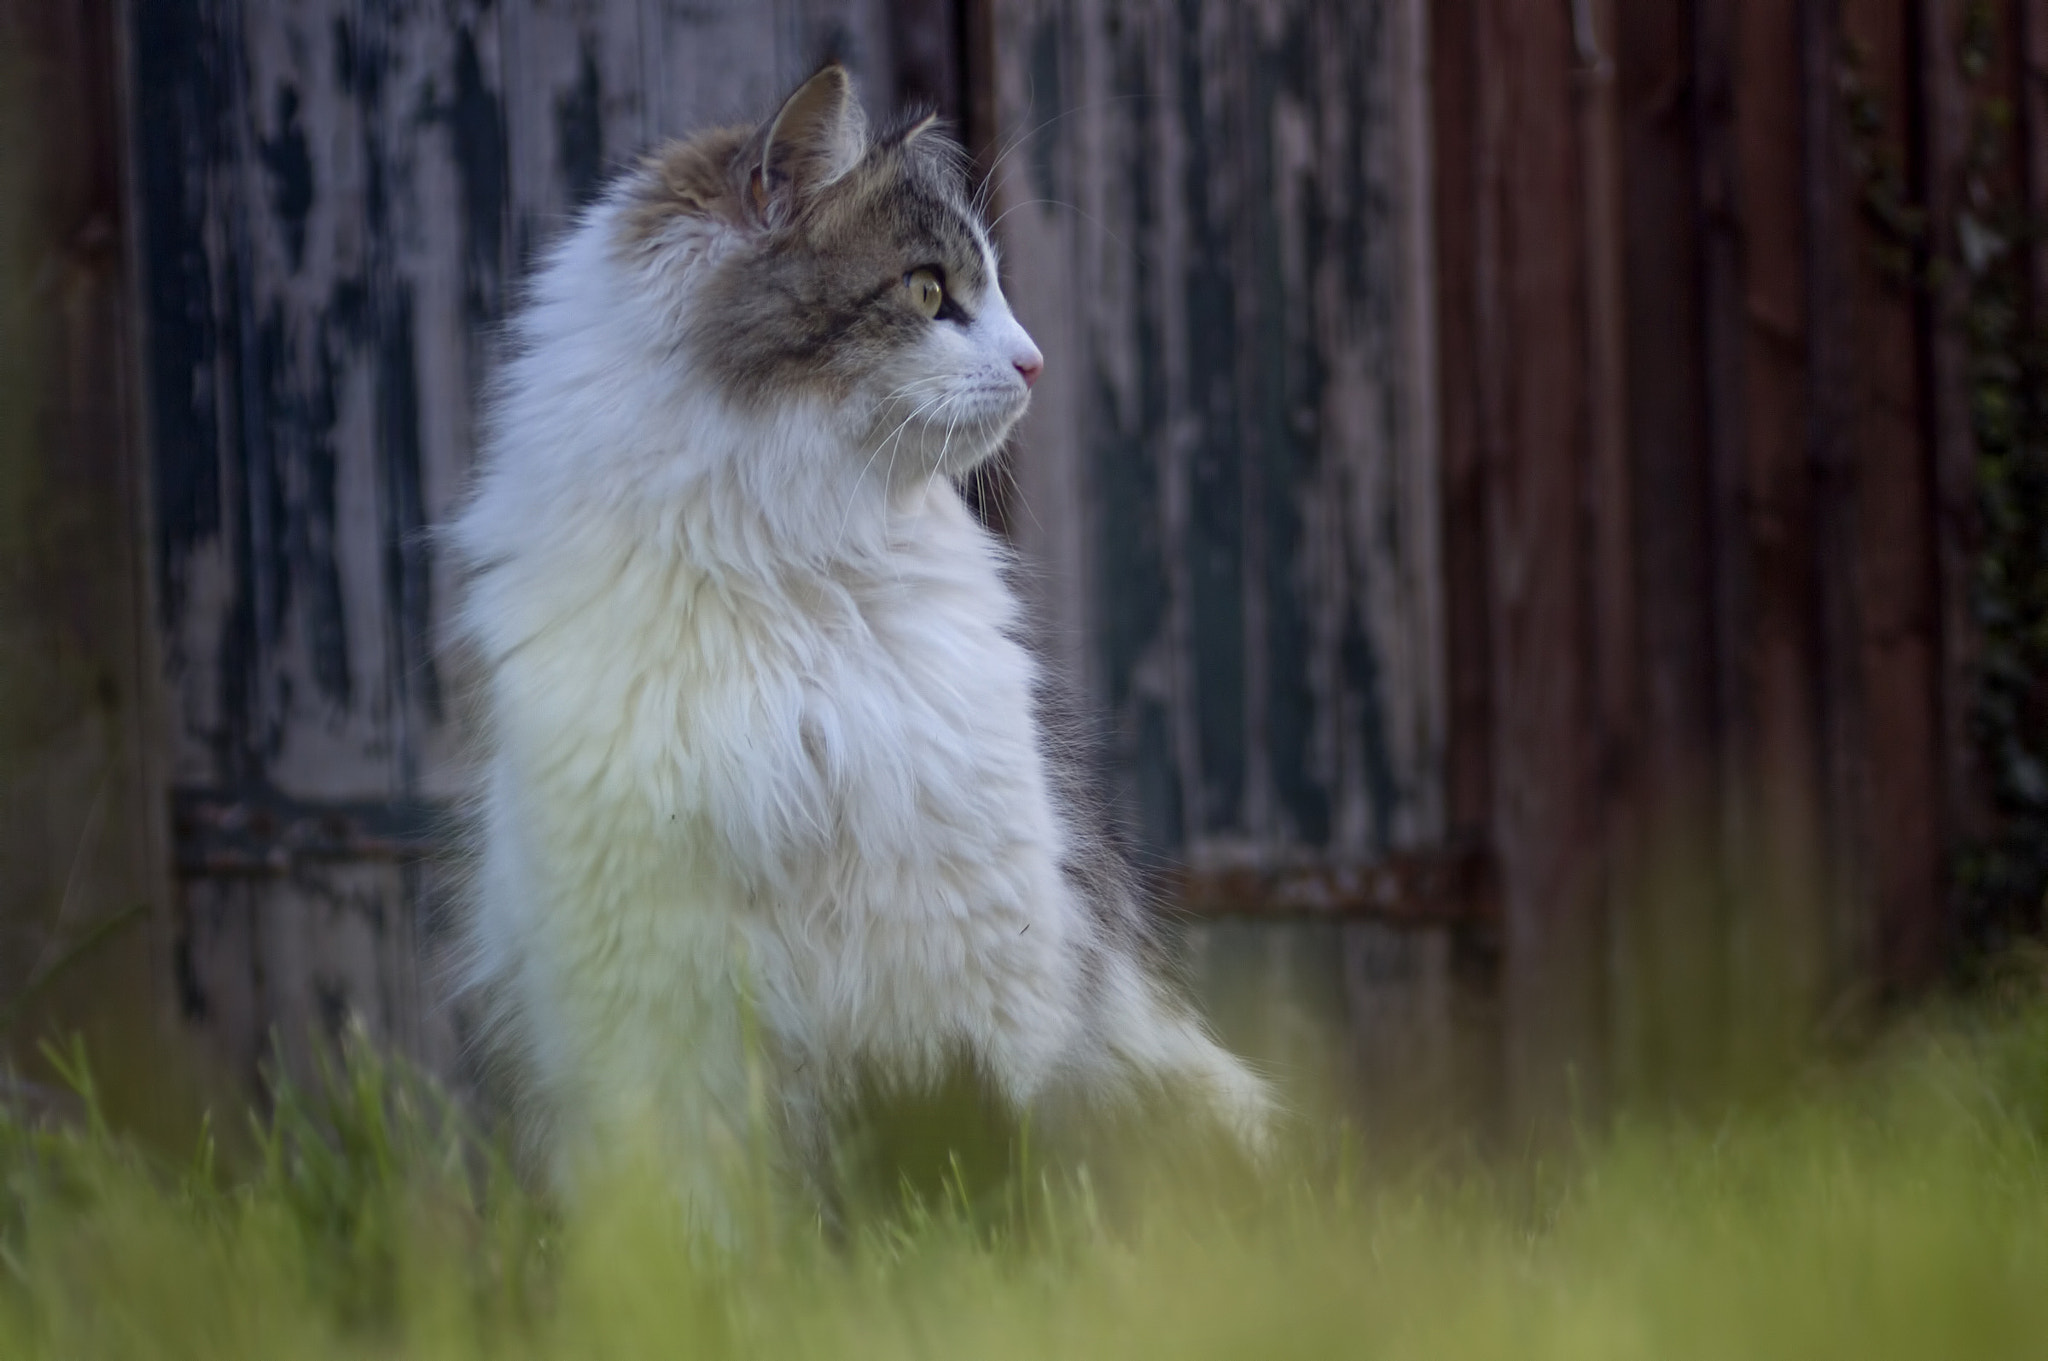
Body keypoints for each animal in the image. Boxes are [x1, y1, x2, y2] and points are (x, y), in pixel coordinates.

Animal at [448, 63, 1269, 1227]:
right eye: (929, 292)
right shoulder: (663, 1002)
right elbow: (713, 1216)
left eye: (993, 289)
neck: (794, 578)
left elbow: (988, 1164)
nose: (1034, 361)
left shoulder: (971, 960)